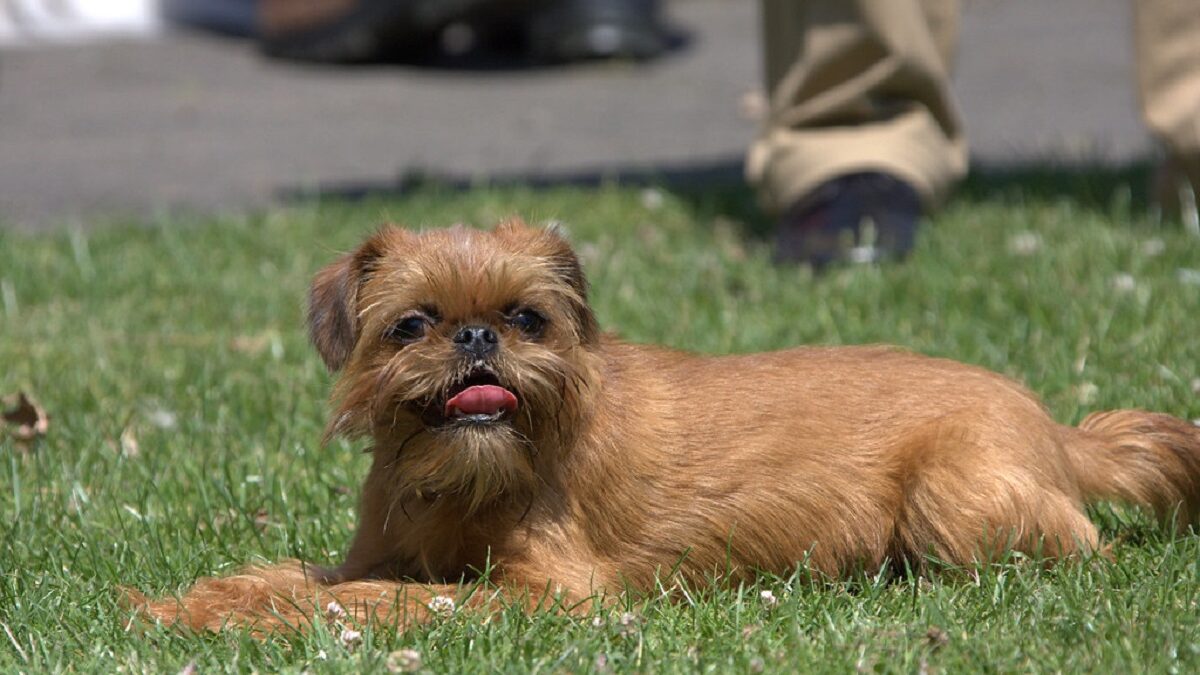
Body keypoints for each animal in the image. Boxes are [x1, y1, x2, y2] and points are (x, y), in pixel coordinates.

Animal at [136, 218, 1200, 629]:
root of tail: (1058, 430)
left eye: (529, 318)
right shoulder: (382, 549)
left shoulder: (547, 594)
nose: (477, 336)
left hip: (953, 493)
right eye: (412, 325)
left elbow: (379, 602)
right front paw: (190, 600)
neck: (462, 480)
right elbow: (301, 576)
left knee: (1080, 549)